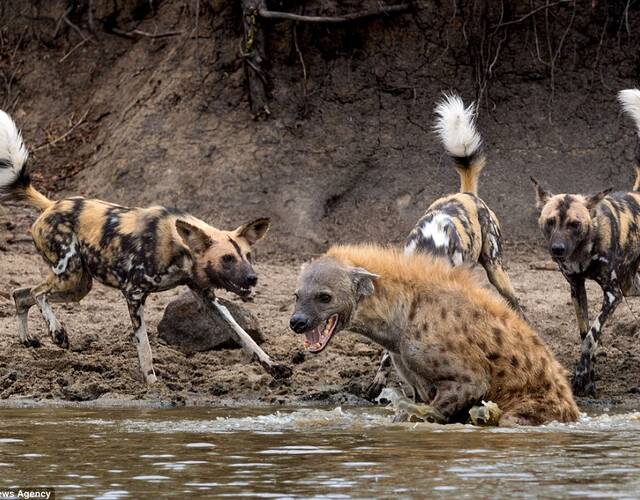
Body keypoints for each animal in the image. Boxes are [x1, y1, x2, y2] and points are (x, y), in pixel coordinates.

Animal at [0, 110, 272, 382]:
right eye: (227, 258)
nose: (252, 278)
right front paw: (152, 383)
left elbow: (242, 334)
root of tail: (51, 205)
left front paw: (272, 365)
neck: (178, 247)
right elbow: (145, 349)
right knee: (37, 293)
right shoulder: (133, 294)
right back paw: (57, 333)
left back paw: (27, 339)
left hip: (79, 286)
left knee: (21, 294)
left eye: (248, 256)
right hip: (70, 275)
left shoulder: (207, 297)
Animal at [290, 244, 580, 424]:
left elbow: (433, 408)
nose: (297, 322)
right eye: (297, 296)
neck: (399, 320)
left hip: (539, 406)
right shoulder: (411, 373)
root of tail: (572, 406)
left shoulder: (468, 378)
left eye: (324, 297)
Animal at [368, 94, 524, 398]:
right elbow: (385, 355)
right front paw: (378, 380)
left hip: (496, 270)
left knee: (516, 303)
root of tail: (466, 194)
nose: (424, 396)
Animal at [532, 88, 640, 396]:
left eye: (575, 224)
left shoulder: (613, 294)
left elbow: (592, 334)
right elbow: (584, 334)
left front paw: (583, 375)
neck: (582, 252)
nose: (557, 250)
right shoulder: (576, 287)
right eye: (550, 222)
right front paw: (588, 376)